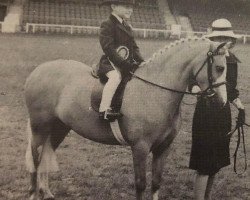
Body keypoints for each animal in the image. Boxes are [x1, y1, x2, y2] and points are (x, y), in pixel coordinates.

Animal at [24, 37, 229, 200]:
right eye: (220, 68)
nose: (222, 102)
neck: (155, 91)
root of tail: (39, 70)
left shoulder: (163, 147)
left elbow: (156, 182)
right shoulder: (140, 147)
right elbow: (140, 183)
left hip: (59, 127)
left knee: (46, 154)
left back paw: (46, 192)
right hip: (40, 127)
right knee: (36, 158)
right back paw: (34, 193)